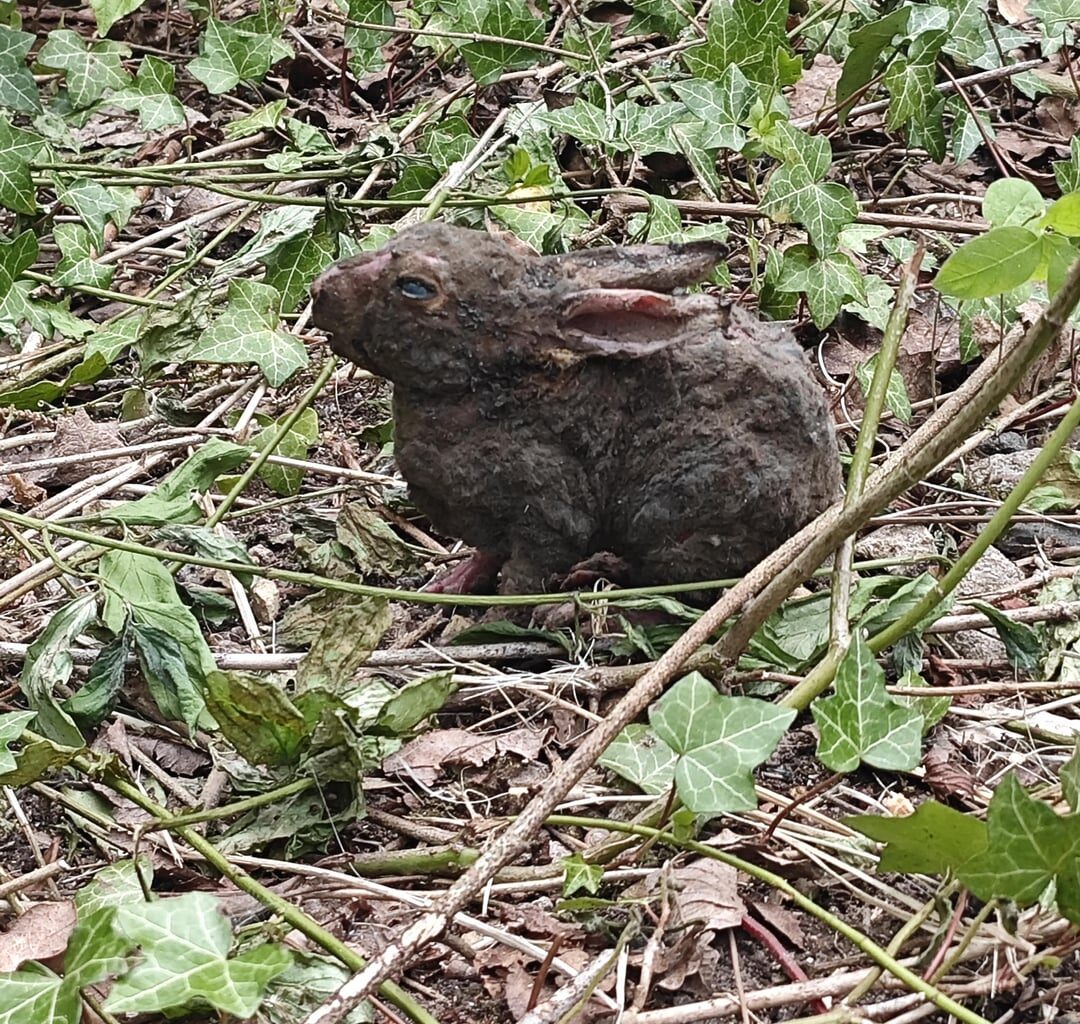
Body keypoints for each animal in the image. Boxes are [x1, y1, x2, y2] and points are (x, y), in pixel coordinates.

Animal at [311, 222, 841, 595]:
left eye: (415, 287)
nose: (319, 290)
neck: (498, 384)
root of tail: (821, 502)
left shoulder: (548, 516)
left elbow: (524, 579)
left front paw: (475, 624)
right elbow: (486, 556)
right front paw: (449, 585)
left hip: (685, 515)